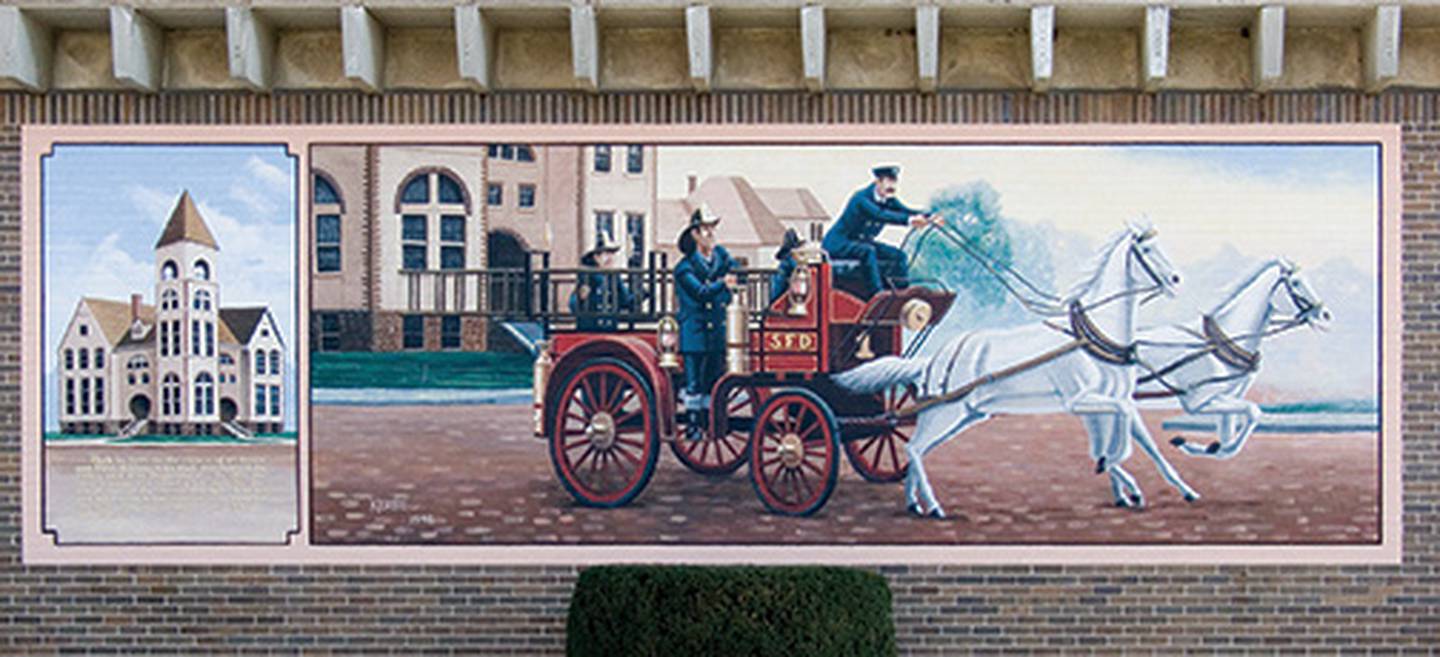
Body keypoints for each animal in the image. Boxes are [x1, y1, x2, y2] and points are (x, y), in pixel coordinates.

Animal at [835, 224, 1192, 518]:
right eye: (1147, 250)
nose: (1177, 280)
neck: (1091, 336)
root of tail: (933, 360)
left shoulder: (1112, 401)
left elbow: (1143, 442)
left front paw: (1174, 490)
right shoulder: (1081, 400)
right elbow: (1116, 436)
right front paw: (1117, 472)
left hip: (956, 415)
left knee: (912, 449)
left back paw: (914, 503)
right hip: (946, 414)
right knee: (914, 449)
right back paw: (934, 506)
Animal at [1134, 259, 1336, 458]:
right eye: (1295, 283)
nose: (1326, 316)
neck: (1219, 345)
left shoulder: (1229, 396)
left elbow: (1228, 431)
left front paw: (1209, 448)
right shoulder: (1198, 402)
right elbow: (1253, 411)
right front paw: (1205, 447)